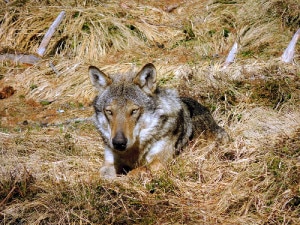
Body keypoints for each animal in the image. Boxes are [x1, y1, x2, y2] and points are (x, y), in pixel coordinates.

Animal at [88, 63, 229, 179]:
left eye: (134, 111)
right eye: (109, 111)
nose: (118, 143)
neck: (132, 152)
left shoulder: (159, 161)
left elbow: (134, 172)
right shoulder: (109, 162)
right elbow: (100, 175)